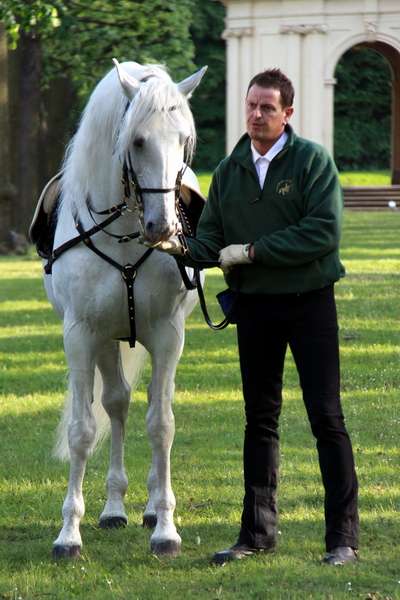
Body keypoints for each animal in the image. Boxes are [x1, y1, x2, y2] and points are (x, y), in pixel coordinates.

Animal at [38, 59, 208, 556]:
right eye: (137, 141)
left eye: (183, 140)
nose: (164, 227)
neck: (126, 235)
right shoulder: (81, 335)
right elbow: (83, 429)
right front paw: (68, 534)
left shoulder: (168, 335)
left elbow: (162, 425)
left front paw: (165, 528)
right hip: (107, 341)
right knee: (116, 403)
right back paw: (114, 508)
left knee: (148, 403)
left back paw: (149, 506)